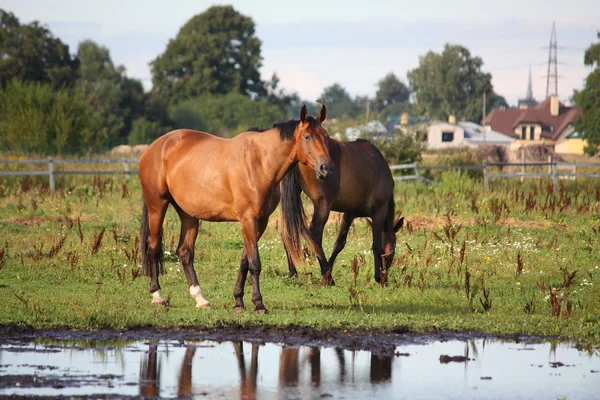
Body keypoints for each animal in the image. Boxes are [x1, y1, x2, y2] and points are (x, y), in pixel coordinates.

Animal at [139, 104, 332, 314]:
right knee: (153, 248)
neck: (260, 162)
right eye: (307, 137)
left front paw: (238, 301)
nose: (326, 168)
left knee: (185, 252)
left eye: (325, 135)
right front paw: (258, 304)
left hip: (188, 214)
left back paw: (200, 299)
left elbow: (245, 261)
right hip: (157, 205)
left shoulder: (260, 222)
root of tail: (155, 147)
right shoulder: (248, 219)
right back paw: (157, 296)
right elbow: (254, 263)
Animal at [282, 138, 404, 284]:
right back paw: (328, 277)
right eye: (393, 250)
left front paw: (328, 269)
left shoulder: (349, 214)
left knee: (287, 233)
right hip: (323, 205)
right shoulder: (379, 212)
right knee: (314, 234)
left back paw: (294, 272)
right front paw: (378, 277)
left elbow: (339, 244)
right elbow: (377, 246)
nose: (385, 276)